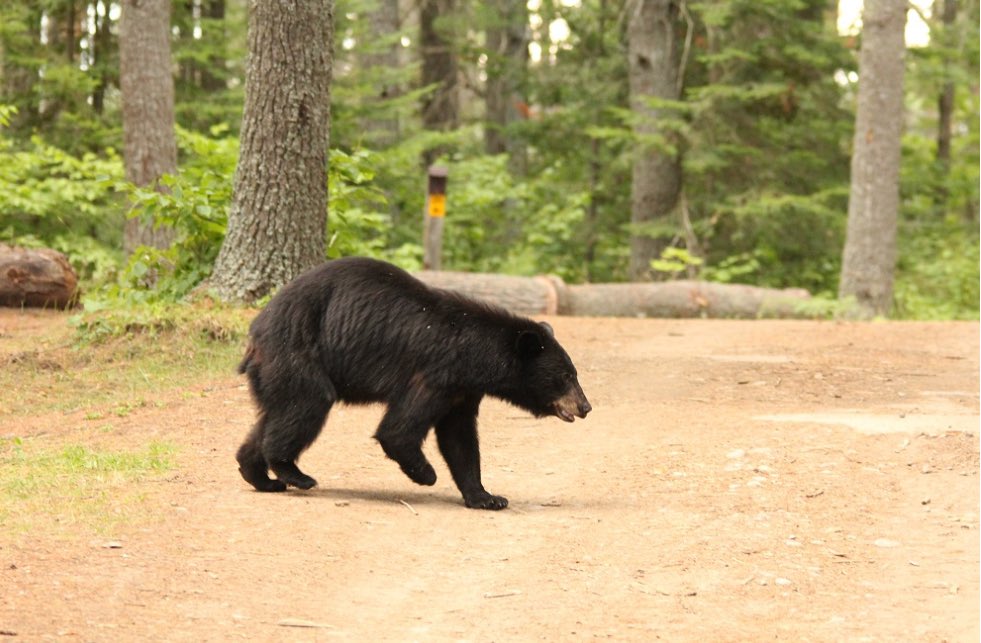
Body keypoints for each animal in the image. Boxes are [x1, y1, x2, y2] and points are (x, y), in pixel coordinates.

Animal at [235, 256, 591, 510]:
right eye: (566, 376)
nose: (585, 406)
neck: (473, 355)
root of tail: (256, 330)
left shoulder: (463, 391)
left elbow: (460, 439)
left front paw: (487, 497)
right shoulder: (434, 374)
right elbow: (399, 430)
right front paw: (427, 474)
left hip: (277, 371)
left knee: (275, 416)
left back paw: (260, 475)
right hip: (299, 353)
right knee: (306, 406)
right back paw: (294, 473)